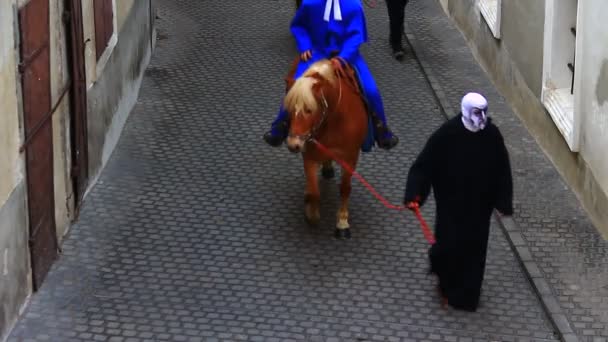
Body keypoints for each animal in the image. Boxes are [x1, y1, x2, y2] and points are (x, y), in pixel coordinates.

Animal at [284, 58, 368, 239]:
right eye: (289, 109)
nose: (293, 144)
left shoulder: (350, 158)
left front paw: (342, 223)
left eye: (309, 109)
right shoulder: (309, 155)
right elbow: (314, 192)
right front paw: (312, 213)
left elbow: (345, 188)